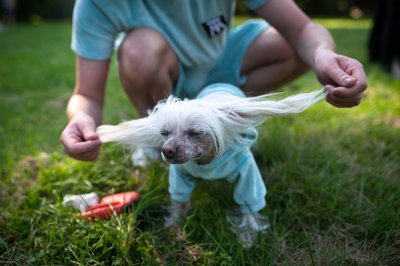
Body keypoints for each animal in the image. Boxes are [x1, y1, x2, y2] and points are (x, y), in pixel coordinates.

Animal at [97, 83, 324, 247]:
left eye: (195, 133)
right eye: (164, 133)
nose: (166, 151)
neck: (206, 162)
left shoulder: (248, 176)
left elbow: (249, 206)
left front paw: (248, 237)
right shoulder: (180, 175)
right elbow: (178, 202)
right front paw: (173, 225)